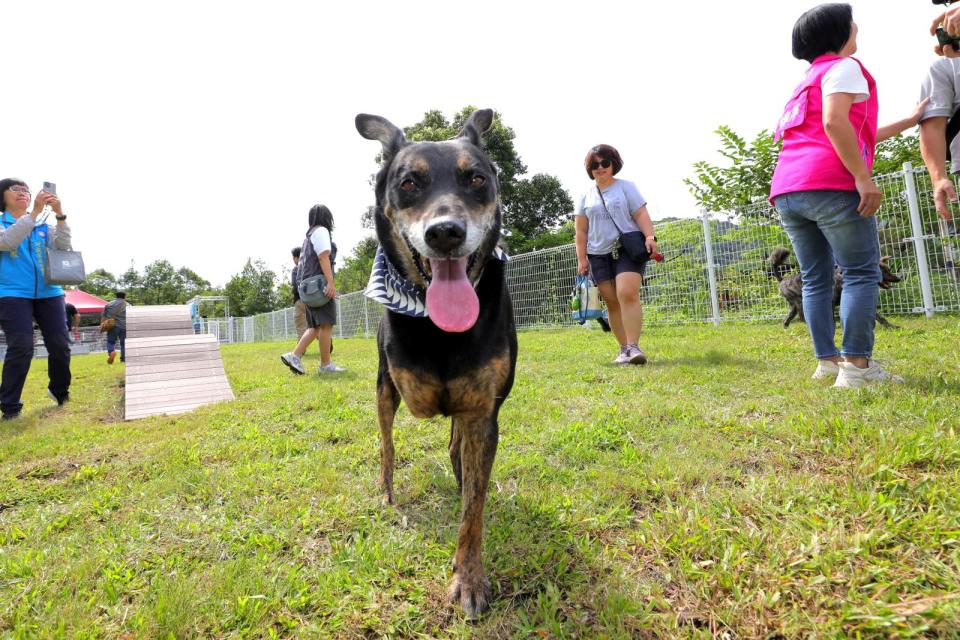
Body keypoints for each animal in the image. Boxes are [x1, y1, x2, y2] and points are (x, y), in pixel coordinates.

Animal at [354, 111, 516, 620]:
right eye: (409, 182)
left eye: (477, 178)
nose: (445, 232)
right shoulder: (396, 383)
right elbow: (407, 414)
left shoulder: (482, 410)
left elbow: (473, 509)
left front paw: (469, 580)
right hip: (382, 393)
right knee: (387, 445)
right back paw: (387, 492)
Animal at [764, 249, 900, 330]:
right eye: (885, 271)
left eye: (889, 270)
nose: (899, 278)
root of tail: (782, 279)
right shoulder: (830, 302)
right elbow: (832, 318)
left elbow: (879, 317)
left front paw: (891, 326)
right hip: (799, 301)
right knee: (802, 316)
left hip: (793, 305)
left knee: (788, 317)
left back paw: (786, 327)